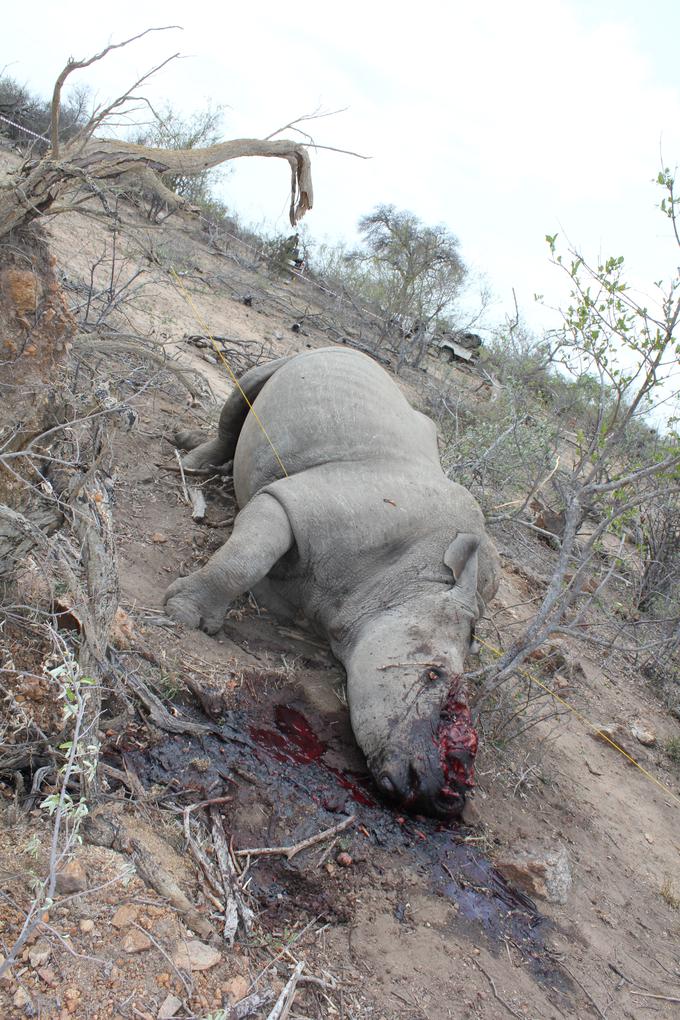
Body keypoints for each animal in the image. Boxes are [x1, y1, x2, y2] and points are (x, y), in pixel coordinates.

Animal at [165, 346, 499, 816]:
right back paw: (191, 461)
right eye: (432, 675)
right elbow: (246, 558)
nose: (441, 798)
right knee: (246, 388)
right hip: (293, 361)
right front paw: (185, 617)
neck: (410, 583)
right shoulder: (294, 503)